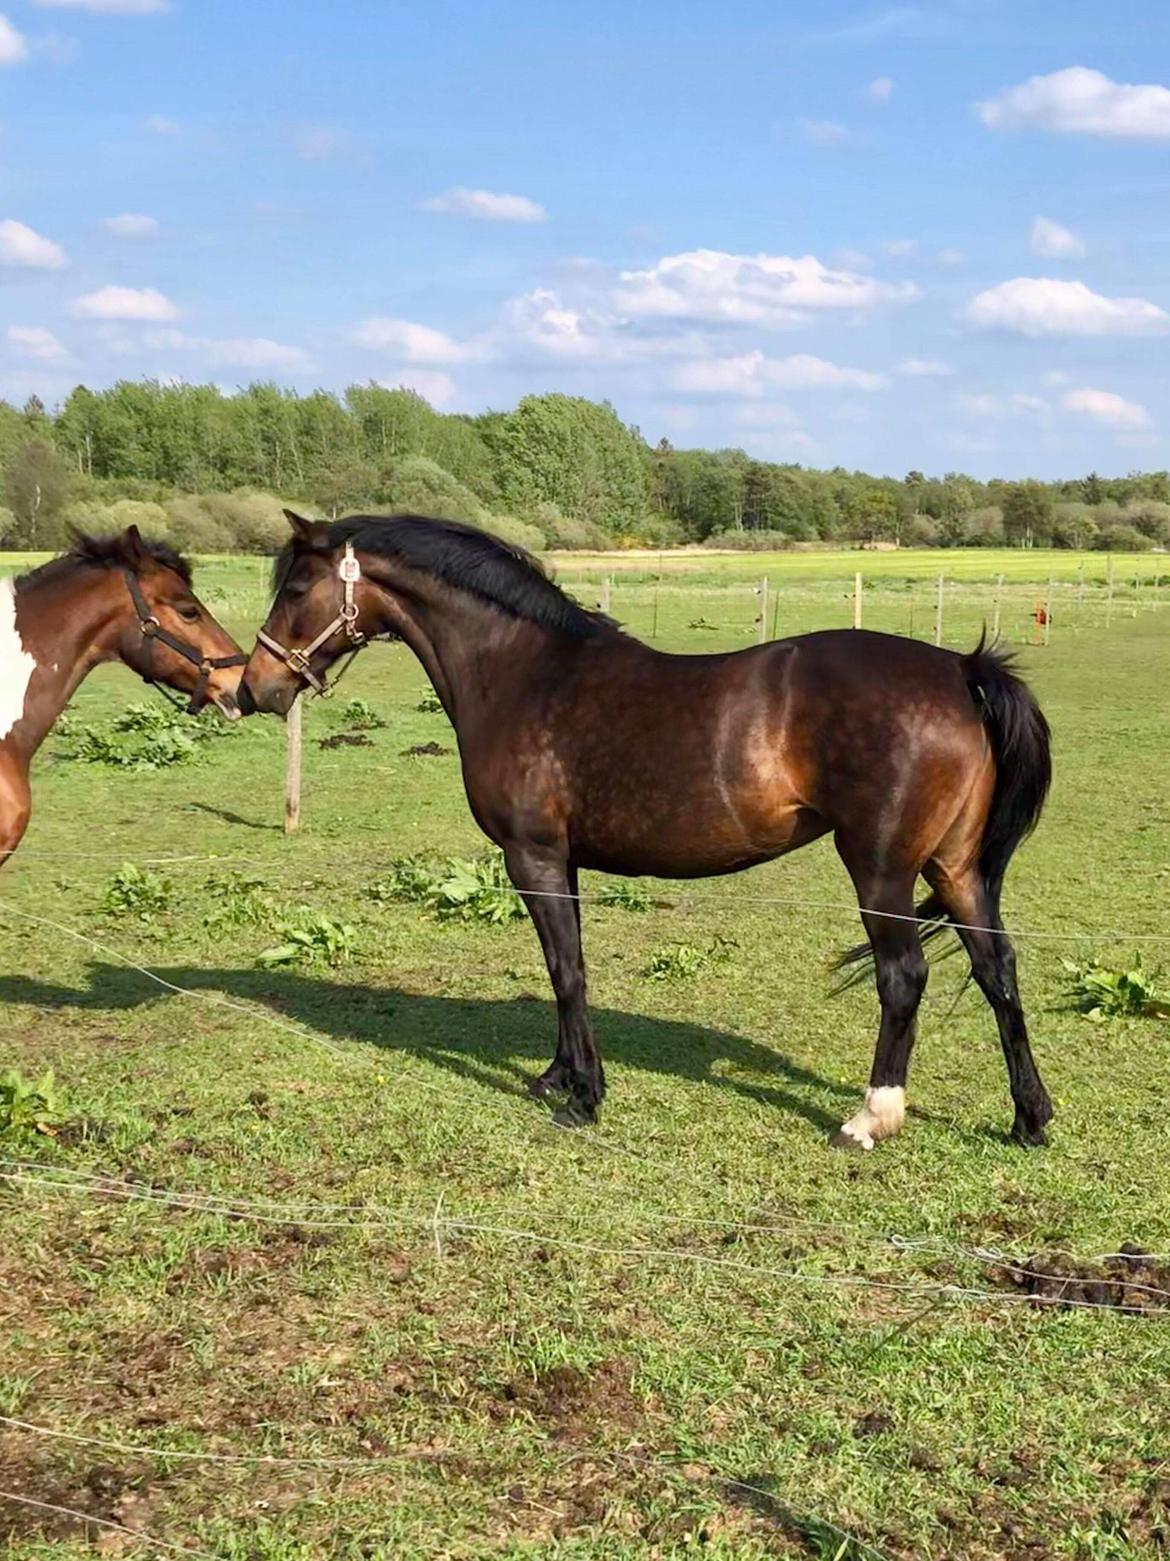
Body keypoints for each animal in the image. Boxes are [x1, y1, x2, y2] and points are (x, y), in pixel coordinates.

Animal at [243, 512, 1060, 1148]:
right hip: (955, 869)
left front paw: (584, 1096)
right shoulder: (561, 860)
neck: (523, 672)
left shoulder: (532, 858)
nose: (254, 687)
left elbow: (566, 970)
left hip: (882, 869)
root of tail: (958, 669)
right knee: (997, 968)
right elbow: (565, 964)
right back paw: (1028, 1118)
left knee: (904, 976)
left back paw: (870, 1118)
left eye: (295, 589)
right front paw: (557, 1076)